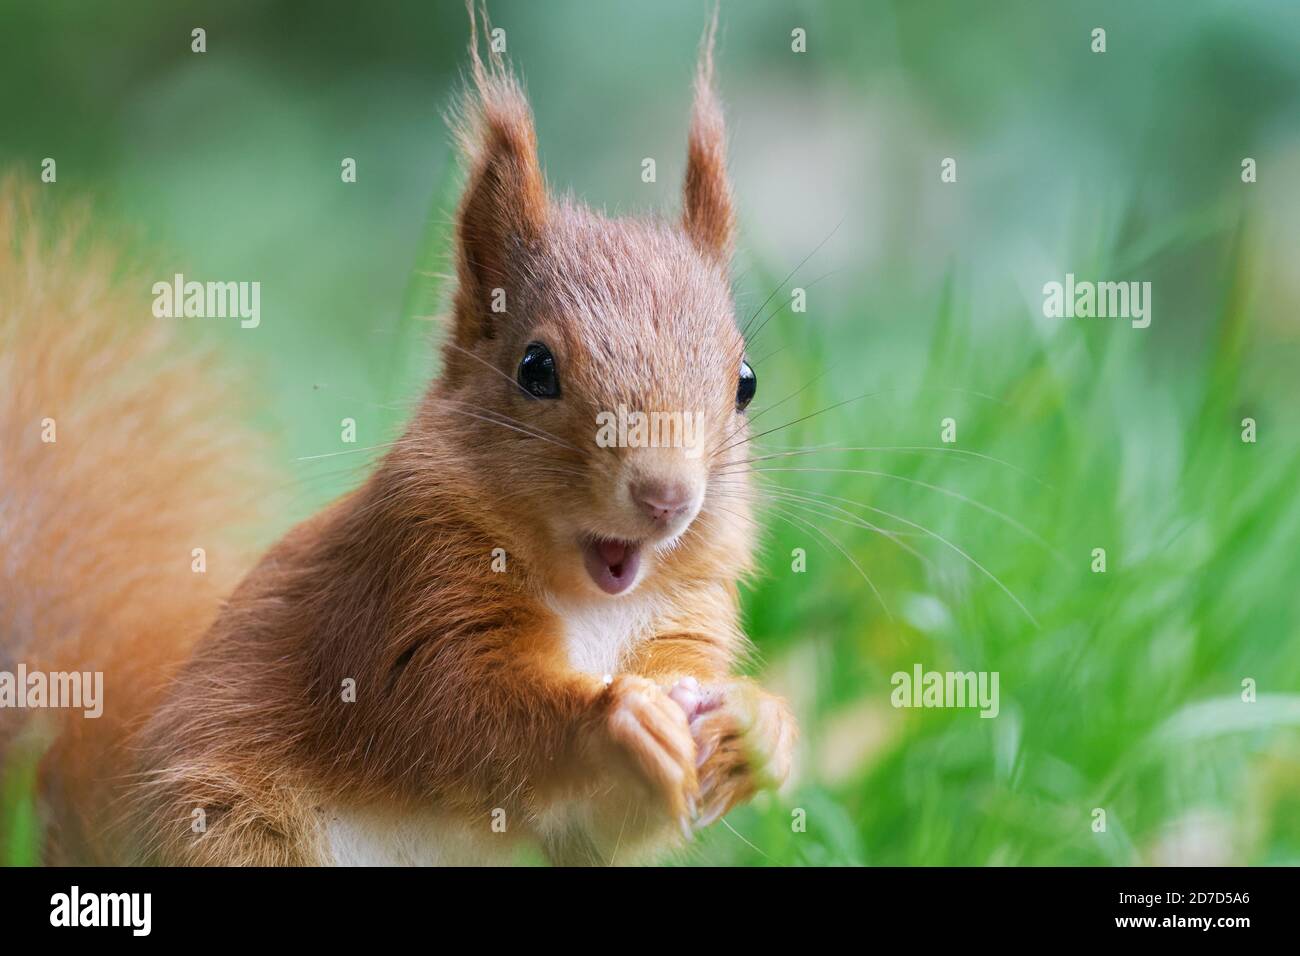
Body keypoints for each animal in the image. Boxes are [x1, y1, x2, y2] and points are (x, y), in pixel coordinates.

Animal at [2, 5, 790, 868]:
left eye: (746, 382)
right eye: (536, 368)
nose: (666, 496)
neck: (595, 606)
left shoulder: (684, 618)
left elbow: (610, 821)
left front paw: (761, 730)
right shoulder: (406, 590)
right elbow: (456, 712)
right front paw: (618, 718)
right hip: (230, 830)